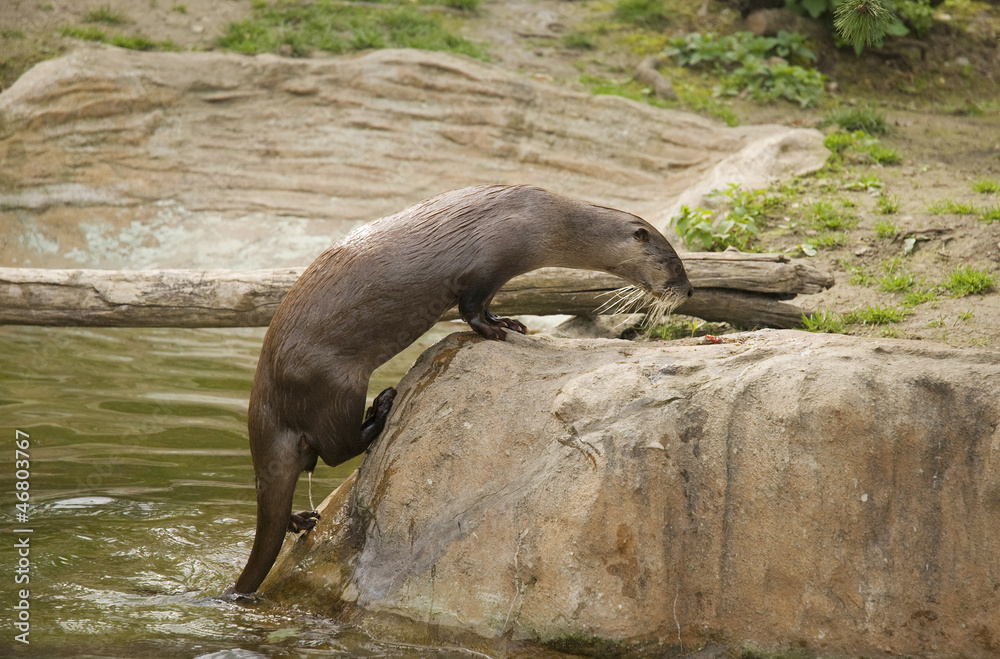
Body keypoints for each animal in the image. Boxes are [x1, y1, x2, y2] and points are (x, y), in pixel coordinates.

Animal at [228, 184, 692, 595]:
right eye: (674, 263)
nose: (688, 290)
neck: (543, 221)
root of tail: (268, 403)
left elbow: (485, 305)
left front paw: (509, 322)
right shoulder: (487, 264)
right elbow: (471, 309)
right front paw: (495, 330)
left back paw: (300, 520)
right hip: (333, 381)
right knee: (336, 447)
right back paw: (382, 407)